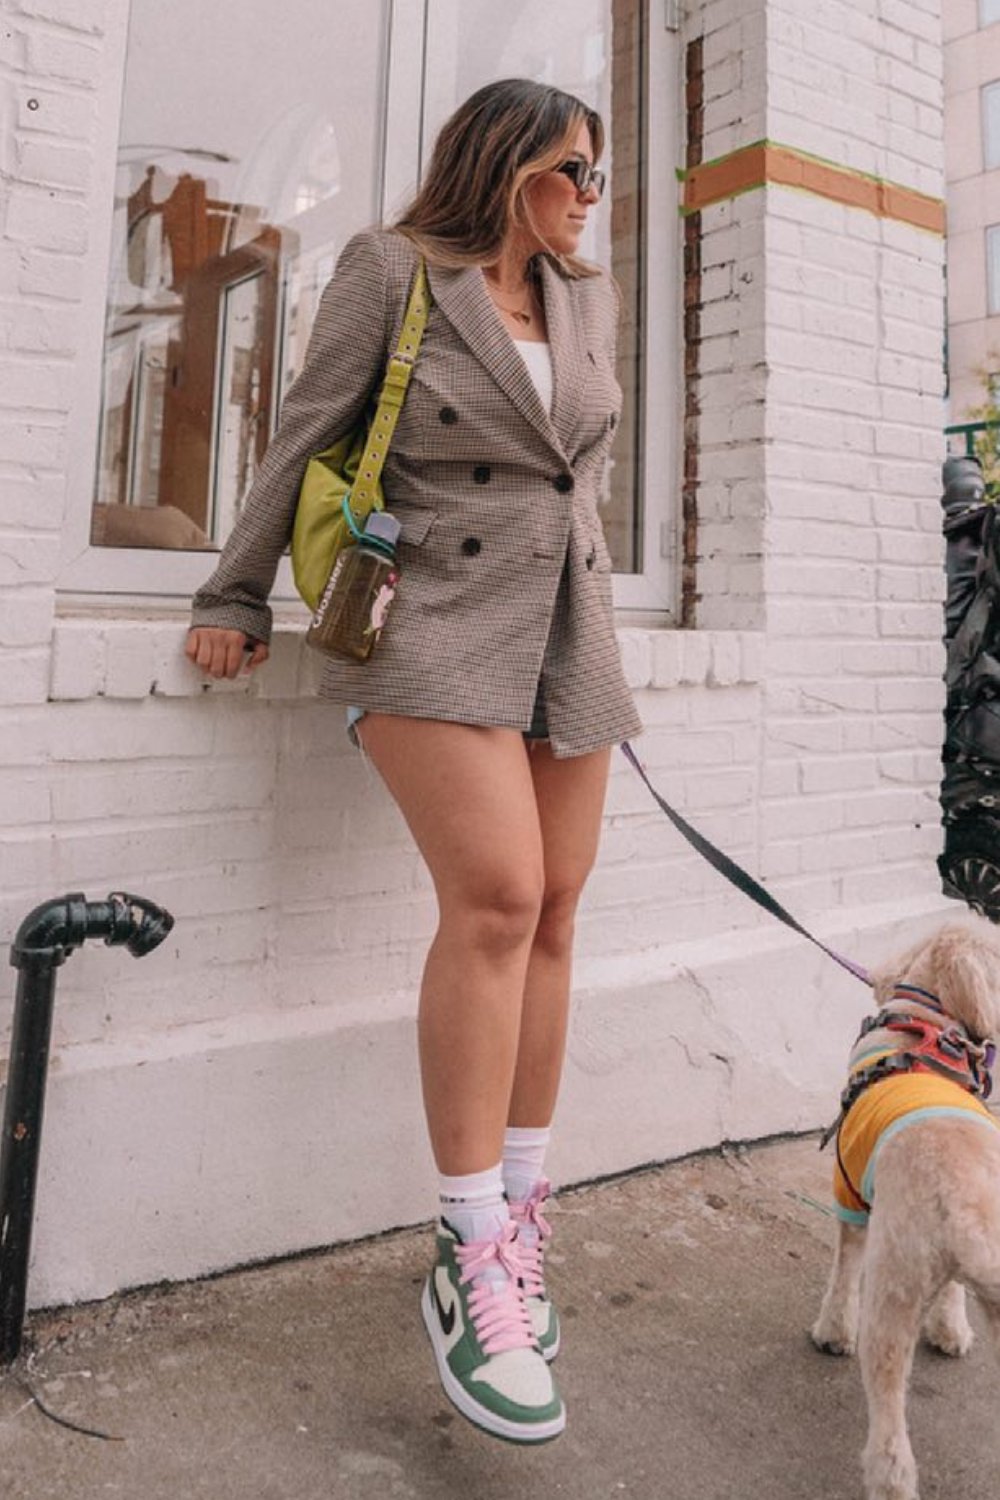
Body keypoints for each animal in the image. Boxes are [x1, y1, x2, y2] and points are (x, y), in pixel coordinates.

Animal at [815, 912, 1000, 1500]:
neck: (928, 1022)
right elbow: (953, 1292)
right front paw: (950, 1329)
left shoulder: (850, 1190)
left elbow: (844, 1267)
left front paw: (832, 1332)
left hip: (893, 1289)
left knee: (890, 1436)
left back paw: (889, 1481)